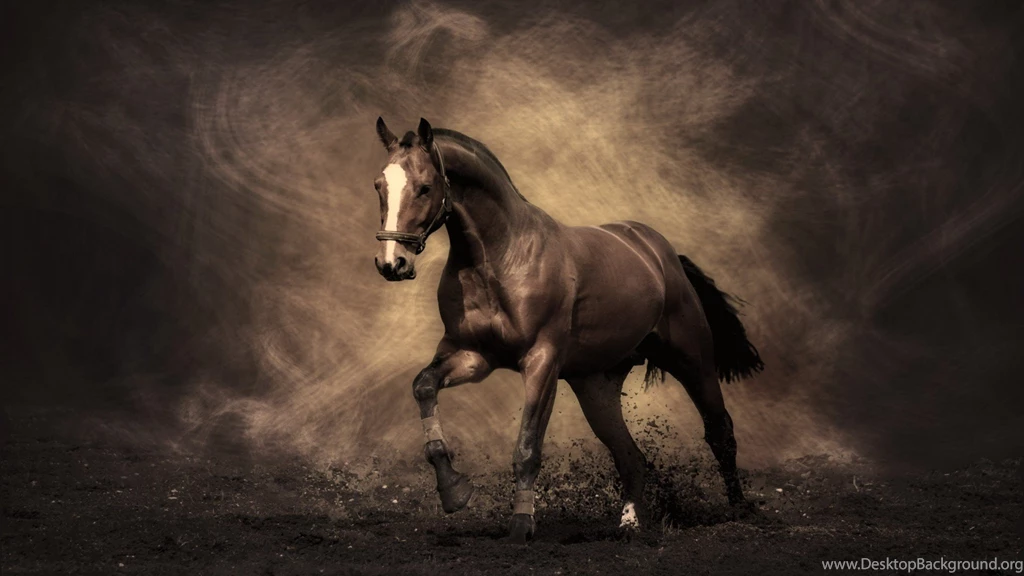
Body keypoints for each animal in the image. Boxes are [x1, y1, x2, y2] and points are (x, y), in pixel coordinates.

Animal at [370, 117, 764, 544]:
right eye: (379, 185)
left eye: (425, 187)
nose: (392, 263)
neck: (500, 258)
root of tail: (661, 254)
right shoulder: (473, 356)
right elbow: (424, 386)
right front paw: (454, 491)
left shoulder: (542, 362)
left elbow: (527, 447)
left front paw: (521, 526)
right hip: (596, 386)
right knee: (630, 456)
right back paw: (630, 524)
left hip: (692, 360)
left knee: (720, 431)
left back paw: (739, 510)